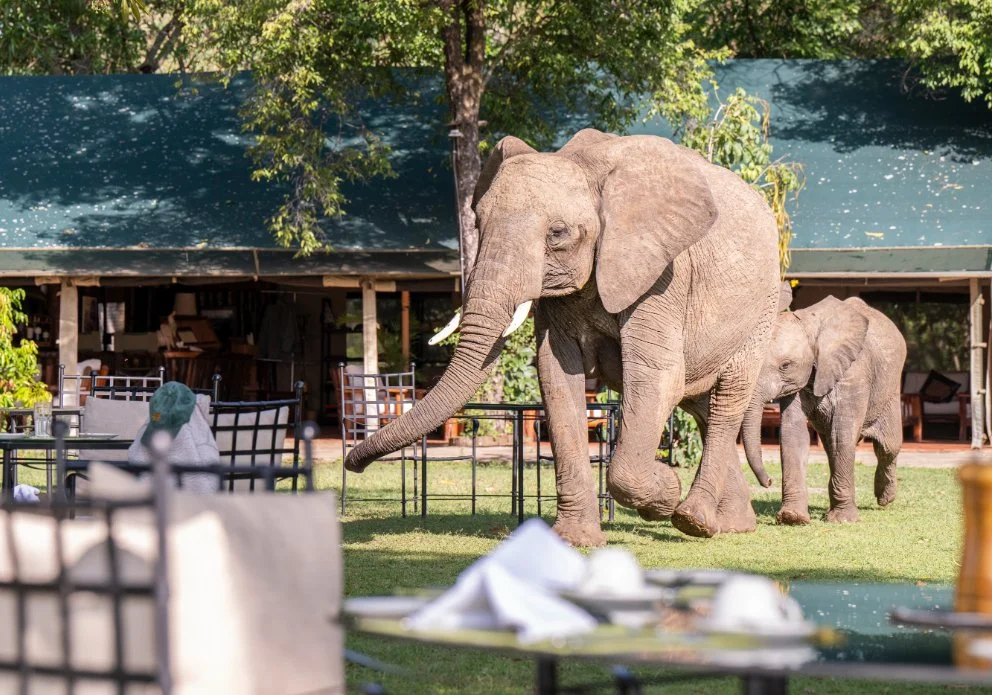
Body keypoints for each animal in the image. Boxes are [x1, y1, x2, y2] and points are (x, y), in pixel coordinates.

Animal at [344, 128, 780, 546]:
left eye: (557, 233)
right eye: (478, 225)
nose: (353, 462)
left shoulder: (662, 276)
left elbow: (657, 376)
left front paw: (665, 491)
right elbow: (556, 377)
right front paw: (575, 541)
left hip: (763, 307)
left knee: (726, 402)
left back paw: (693, 520)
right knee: (701, 405)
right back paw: (731, 526)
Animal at [741, 293, 908, 525]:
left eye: (785, 365)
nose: (769, 481)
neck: (811, 326)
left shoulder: (854, 372)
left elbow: (842, 434)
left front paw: (843, 520)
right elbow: (793, 433)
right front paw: (792, 517)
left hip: (890, 389)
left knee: (888, 446)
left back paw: (885, 499)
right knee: (831, 447)